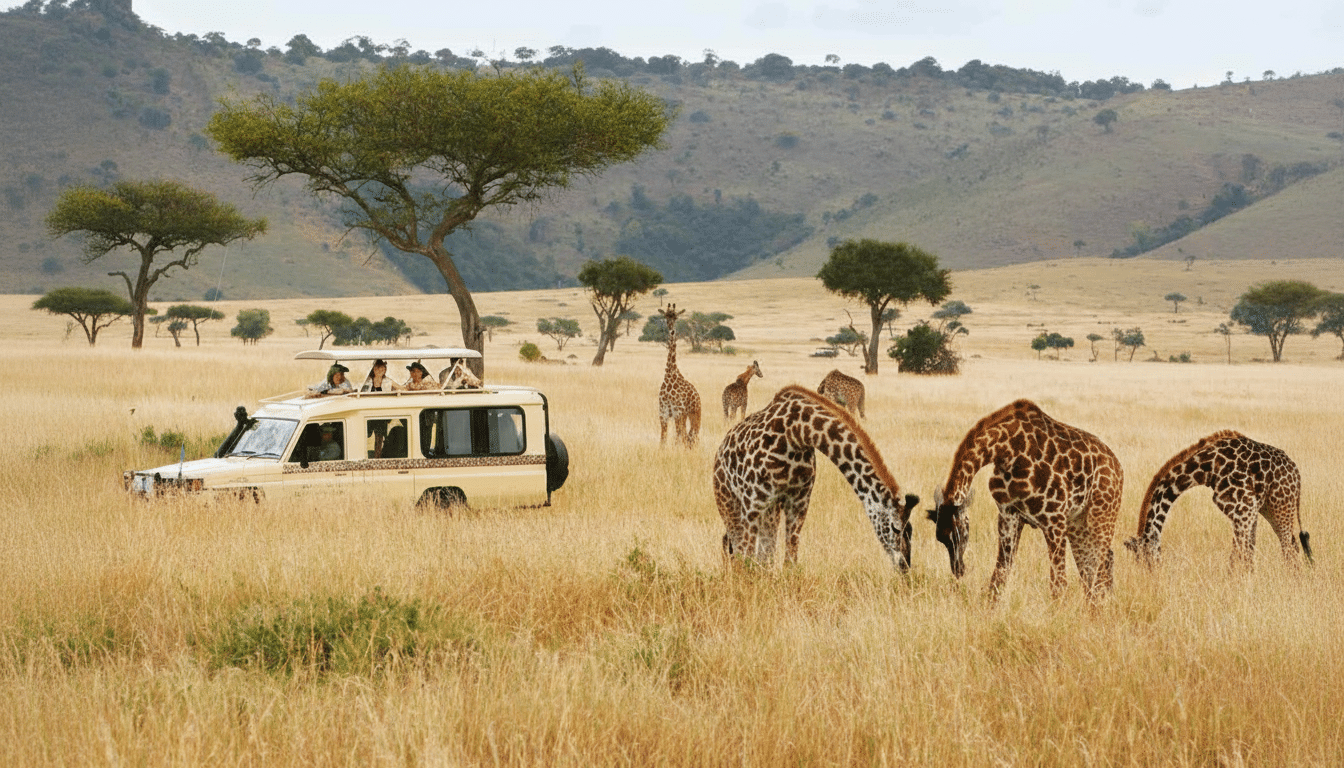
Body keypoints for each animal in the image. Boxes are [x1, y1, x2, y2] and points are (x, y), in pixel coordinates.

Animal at [657, 304, 701, 447]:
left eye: (676, 317)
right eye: (666, 316)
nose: (671, 330)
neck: (669, 375)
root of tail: (698, 395)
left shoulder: (677, 412)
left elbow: (678, 439)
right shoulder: (663, 413)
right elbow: (663, 440)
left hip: (694, 414)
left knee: (692, 435)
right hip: (685, 416)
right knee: (688, 436)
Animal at [713, 385, 918, 569]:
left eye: (910, 530)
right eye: (896, 528)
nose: (905, 566)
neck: (797, 433)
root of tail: (720, 450)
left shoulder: (799, 502)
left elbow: (789, 561)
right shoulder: (754, 503)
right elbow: (748, 559)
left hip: (770, 510)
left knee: (756, 553)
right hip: (729, 502)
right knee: (737, 550)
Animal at [928, 399, 1123, 604]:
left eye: (959, 533)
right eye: (941, 539)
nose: (958, 570)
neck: (1007, 450)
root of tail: (1118, 467)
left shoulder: (1055, 519)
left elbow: (1058, 585)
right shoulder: (1009, 515)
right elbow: (999, 577)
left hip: (1101, 516)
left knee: (1101, 566)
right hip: (1078, 524)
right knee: (1091, 568)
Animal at [1124, 430, 1311, 571]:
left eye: (1143, 557)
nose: (1151, 575)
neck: (1206, 468)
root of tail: (1297, 473)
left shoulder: (1244, 508)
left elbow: (1239, 555)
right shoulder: (1250, 511)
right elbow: (1247, 553)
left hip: (1281, 506)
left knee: (1289, 549)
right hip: (1271, 508)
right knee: (1293, 545)